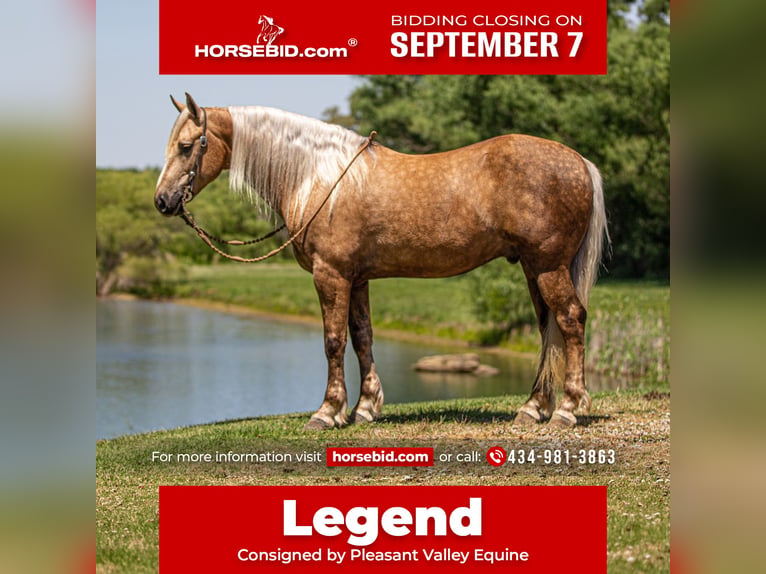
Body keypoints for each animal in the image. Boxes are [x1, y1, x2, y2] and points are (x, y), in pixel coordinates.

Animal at [154, 92, 609, 430]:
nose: (162, 201)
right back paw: (534, 407)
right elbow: (362, 336)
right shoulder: (356, 278)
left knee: (569, 320)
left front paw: (327, 412)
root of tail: (578, 161)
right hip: (534, 268)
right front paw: (365, 408)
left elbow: (333, 340)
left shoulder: (331, 275)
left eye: (185, 146)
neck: (318, 176)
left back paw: (567, 409)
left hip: (549, 266)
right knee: (548, 328)